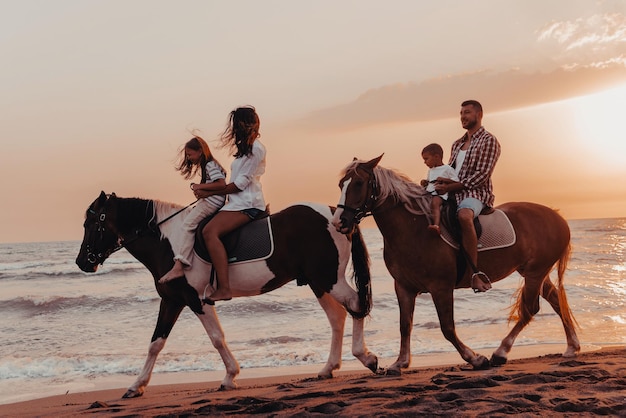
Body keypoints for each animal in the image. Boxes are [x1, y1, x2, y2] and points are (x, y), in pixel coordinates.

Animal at [73, 193, 376, 398]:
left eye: (91, 223)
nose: (82, 262)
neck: (170, 243)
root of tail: (336, 215)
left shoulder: (196, 299)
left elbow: (217, 338)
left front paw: (230, 377)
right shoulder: (172, 300)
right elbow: (155, 343)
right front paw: (137, 386)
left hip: (329, 279)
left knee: (355, 304)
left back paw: (366, 357)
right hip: (318, 281)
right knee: (337, 317)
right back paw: (328, 368)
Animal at [330, 155, 576, 370]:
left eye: (359, 183)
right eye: (341, 184)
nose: (339, 222)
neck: (414, 229)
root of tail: (558, 217)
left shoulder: (441, 287)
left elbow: (447, 328)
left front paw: (475, 358)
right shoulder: (404, 287)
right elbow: (405, 326)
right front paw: (400, 362)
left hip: (535, 272)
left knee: (530, 309)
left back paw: (500, 352)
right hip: (533, 271)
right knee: (556, 300)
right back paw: (572, 347)